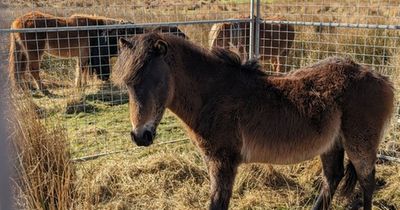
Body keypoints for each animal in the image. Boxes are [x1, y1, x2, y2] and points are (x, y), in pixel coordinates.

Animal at [111, 33, 394, 210]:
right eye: (129, 85)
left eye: (158, 82)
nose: (140, 136)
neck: (214, 94)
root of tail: (381, 79)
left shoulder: (223, 162)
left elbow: (217, 203)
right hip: (331, 144)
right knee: (332, 178)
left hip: (360, 145)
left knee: (367, 182)